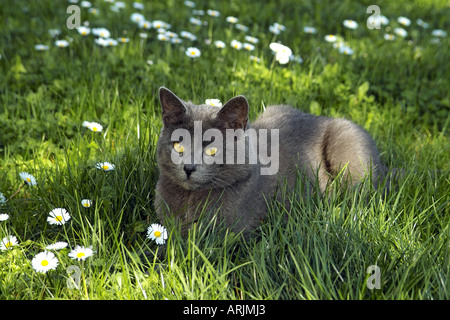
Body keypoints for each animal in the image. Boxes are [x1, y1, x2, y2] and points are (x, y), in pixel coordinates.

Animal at [155, 87, 386, 238]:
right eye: (178, 146)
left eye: (212, 149)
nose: (188, 167)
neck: (189, 198)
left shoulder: (229, 233)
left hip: (349, 148)